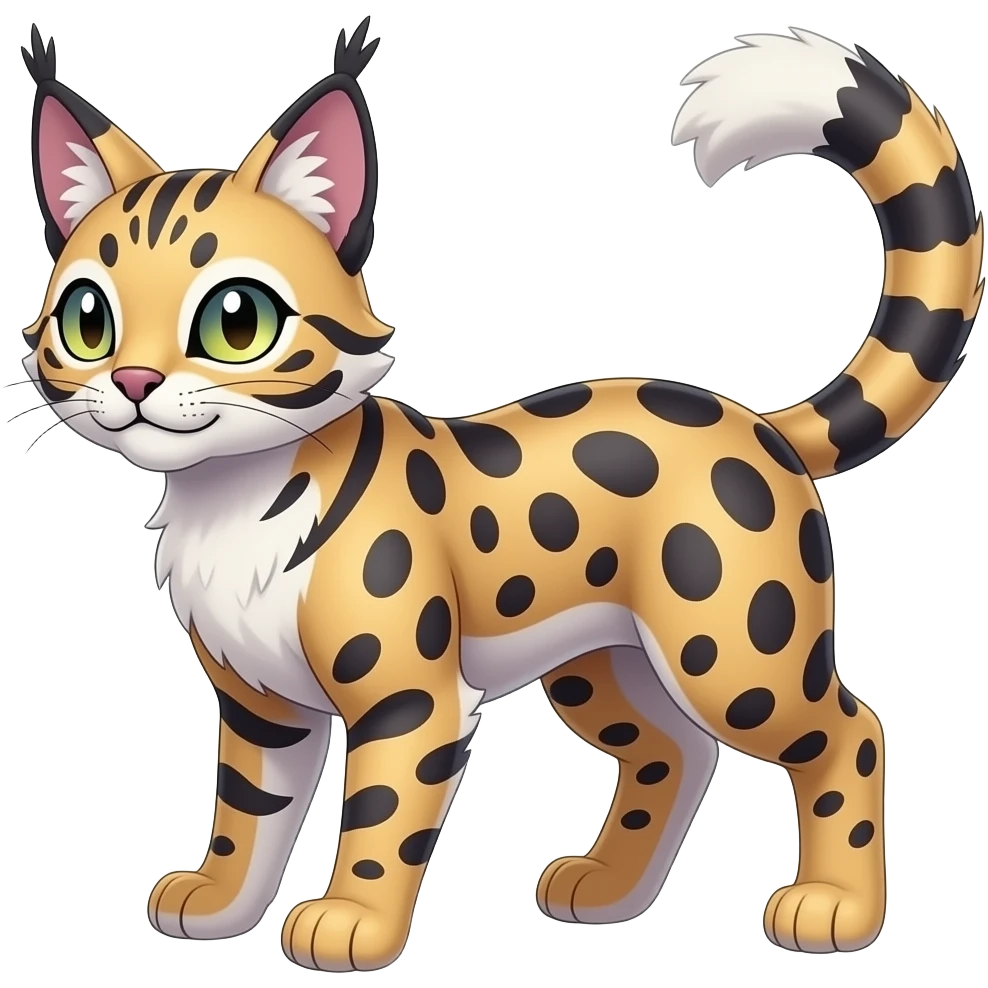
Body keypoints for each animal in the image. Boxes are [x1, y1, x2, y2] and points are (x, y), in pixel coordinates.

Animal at [16, 20, 982, 971]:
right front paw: (220, 904)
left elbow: (381, 822)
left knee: (849, 736)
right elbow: (245, 816)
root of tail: (759, 421)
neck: (236, 498)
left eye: (235, 321)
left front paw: (350, 923)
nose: (134, 381)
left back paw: (834, 911)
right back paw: (608, 890)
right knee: (675, 751)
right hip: (600, 661)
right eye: (88, 321)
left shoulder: (408, 701)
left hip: (733, 653)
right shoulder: (264, 706)